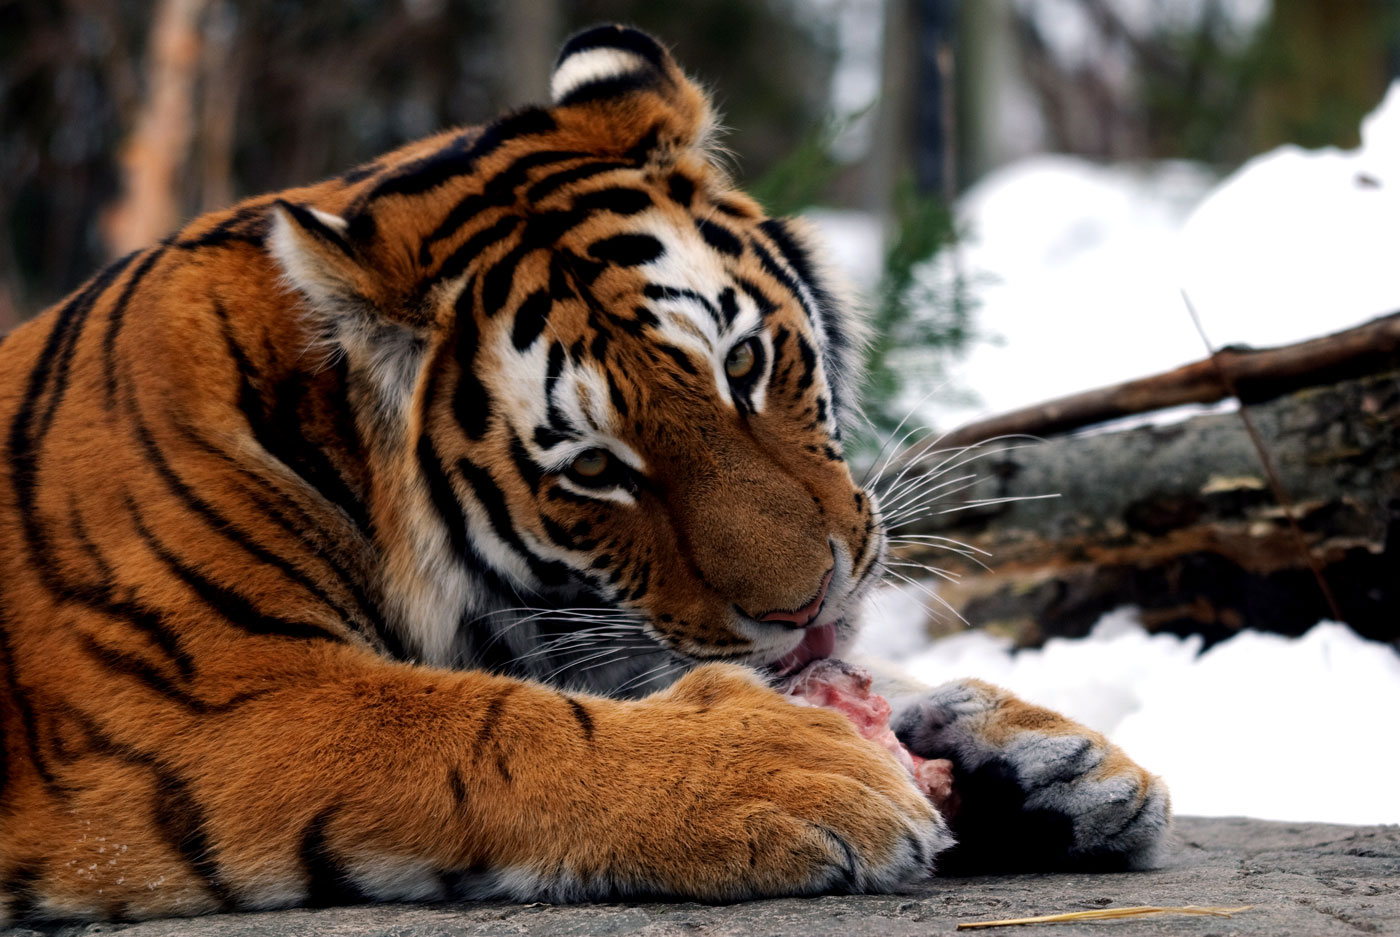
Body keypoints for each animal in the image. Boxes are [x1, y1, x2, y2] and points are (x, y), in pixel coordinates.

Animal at [0, 25, 1169, 924]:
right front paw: (801, 768)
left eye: (743, 364)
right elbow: (485, 726)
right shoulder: (202, 709)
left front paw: (1039, 757)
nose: (808, 605)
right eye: (597, 468)